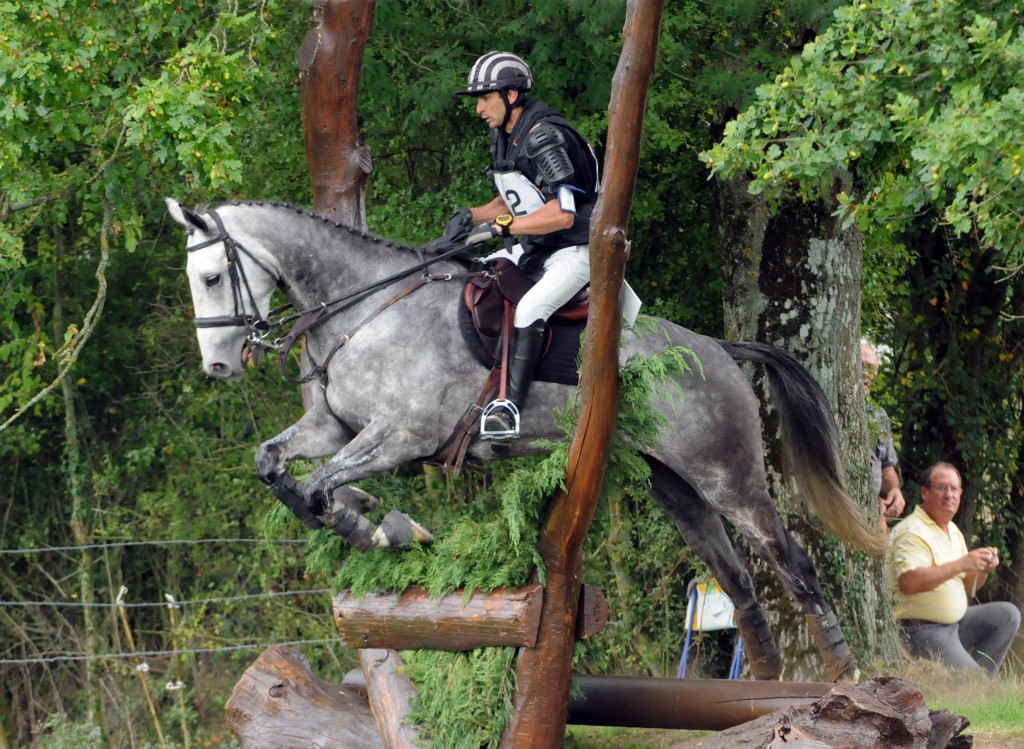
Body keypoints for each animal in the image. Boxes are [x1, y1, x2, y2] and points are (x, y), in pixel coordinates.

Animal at [165, 196, 880, 684]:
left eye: (211, 278)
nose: (218, 368)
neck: (363, 307)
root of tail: (719, 351)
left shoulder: (401, 433)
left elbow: (317, 486)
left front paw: (376, 525)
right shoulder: (332, 428)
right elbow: (276, 467)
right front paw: (370, 516)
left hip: (729, 477)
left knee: (795, 565)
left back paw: (845, 674)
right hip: (677, 488)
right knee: (739, 583)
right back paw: (765, 684)